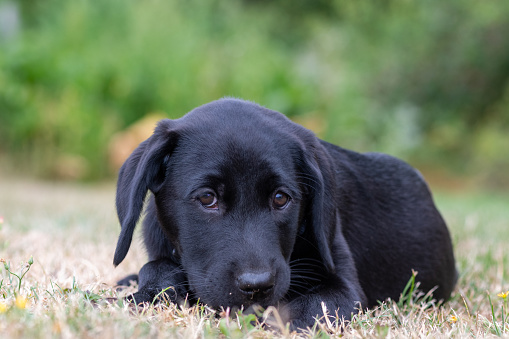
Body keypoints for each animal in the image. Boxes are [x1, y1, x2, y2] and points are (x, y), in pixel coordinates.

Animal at [112, 97, 456, 330]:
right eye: (207, 198)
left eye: (281, 198)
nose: (256, 286)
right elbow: (154, 269)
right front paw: (144, 293)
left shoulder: (343, 288)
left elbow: (305, 308)